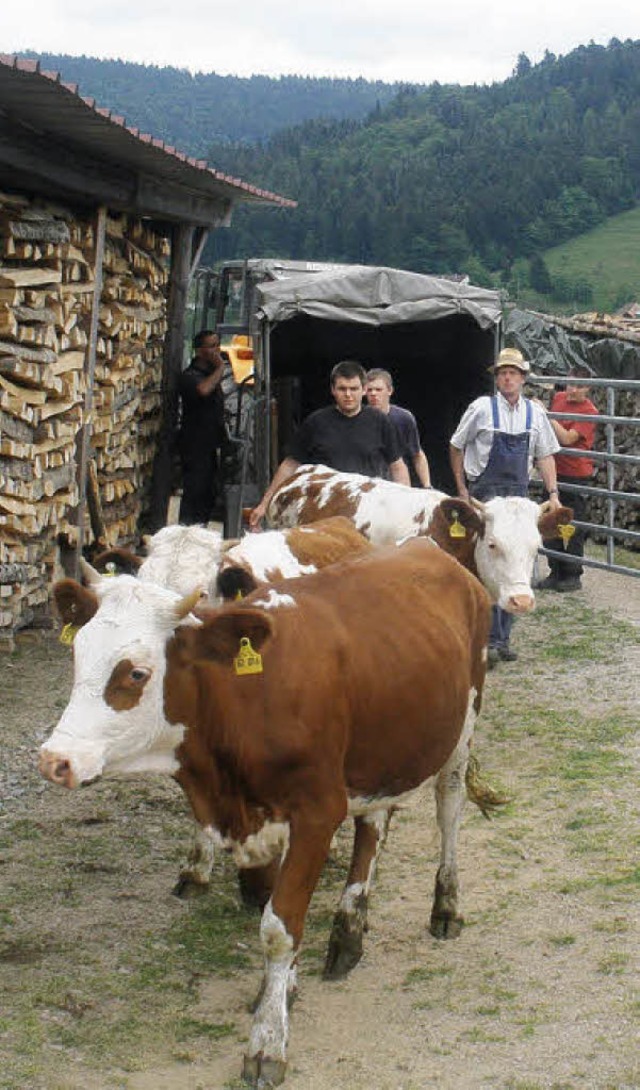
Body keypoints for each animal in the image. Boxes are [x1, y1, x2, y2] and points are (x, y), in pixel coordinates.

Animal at [38, 540, 490, 1085]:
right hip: (381, 750)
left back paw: (445, 906)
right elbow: (274, 906)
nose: (55, 759)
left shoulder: (317, 812)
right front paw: (283, 991)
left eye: (137, 673)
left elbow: (279, 928)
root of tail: (429, 549)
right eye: (78, 656)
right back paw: (349, 928)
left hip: (461, 728)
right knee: (373, 827)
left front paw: (268, 1041)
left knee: (448, 808)